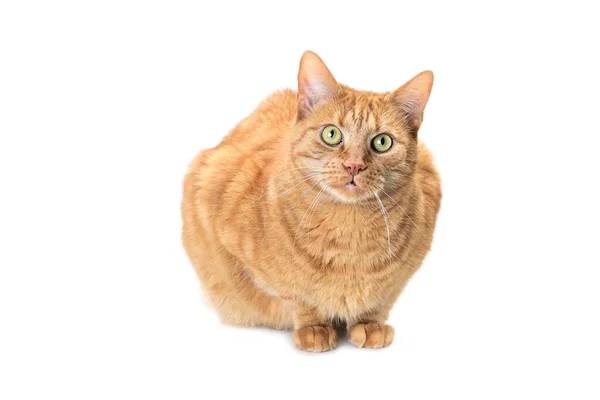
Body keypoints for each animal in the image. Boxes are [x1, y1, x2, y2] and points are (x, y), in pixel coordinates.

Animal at [179, 50, 440, 354]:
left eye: (382, 142)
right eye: (331, 134)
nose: (354, 165)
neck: (349, 237)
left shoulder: (402, 274)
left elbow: (382, 299)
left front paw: (369, 323)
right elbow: (297, 295)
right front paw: (314, 326)